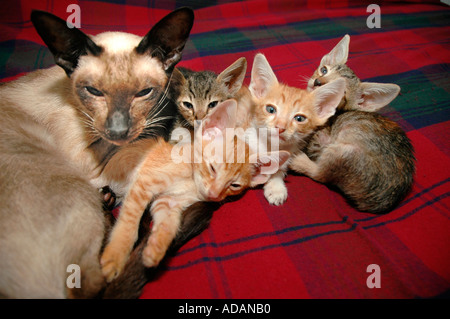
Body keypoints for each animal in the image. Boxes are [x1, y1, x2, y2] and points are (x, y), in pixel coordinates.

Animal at [1, 8, 195, 300]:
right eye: (93, 92)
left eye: (144, 93)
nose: (118, 130)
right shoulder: (91, 159)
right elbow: (149, 139)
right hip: (72, 182)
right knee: (95, 282)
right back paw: (108, 204)